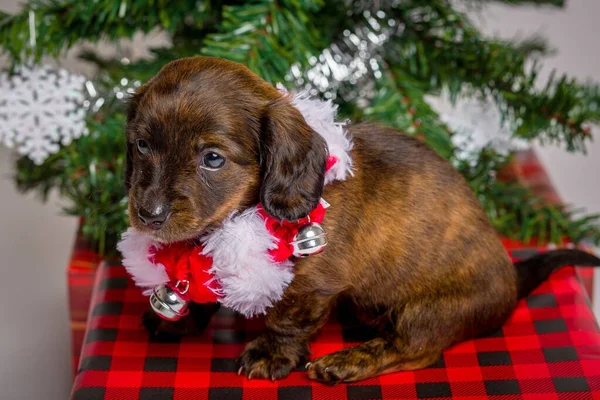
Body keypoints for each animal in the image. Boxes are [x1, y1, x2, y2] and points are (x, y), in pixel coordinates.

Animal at [124, 57, 596, 384]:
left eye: (213, 158)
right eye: (142, 145)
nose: (147, 214)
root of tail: (511, 283)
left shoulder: (313, 285)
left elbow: (287, 320)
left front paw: (270, 353)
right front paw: (181, 318)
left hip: (427, 310)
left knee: (416, 350)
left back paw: (347, 361)